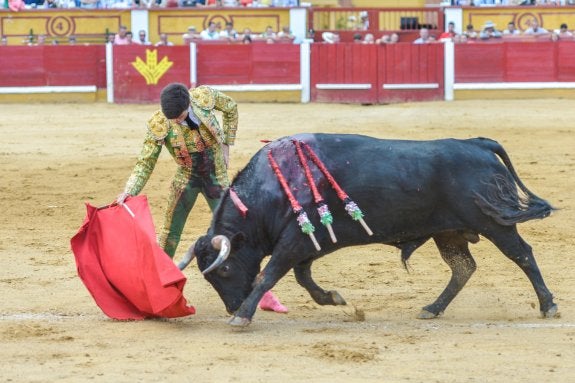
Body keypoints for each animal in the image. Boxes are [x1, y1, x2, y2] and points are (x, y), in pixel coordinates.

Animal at [180, 134, 560, 326]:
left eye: (224, 269)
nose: (232, 307)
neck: (273, 186)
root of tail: (478, 143)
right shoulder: (308, 243)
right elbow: (303, 277)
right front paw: (332, 298)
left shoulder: (295, 240)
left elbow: (269, 274)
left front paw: (243, 317)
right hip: (450, 233)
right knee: (463, 268)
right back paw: (432, 308)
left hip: (493, 223)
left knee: (523, 256)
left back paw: (548, 306)